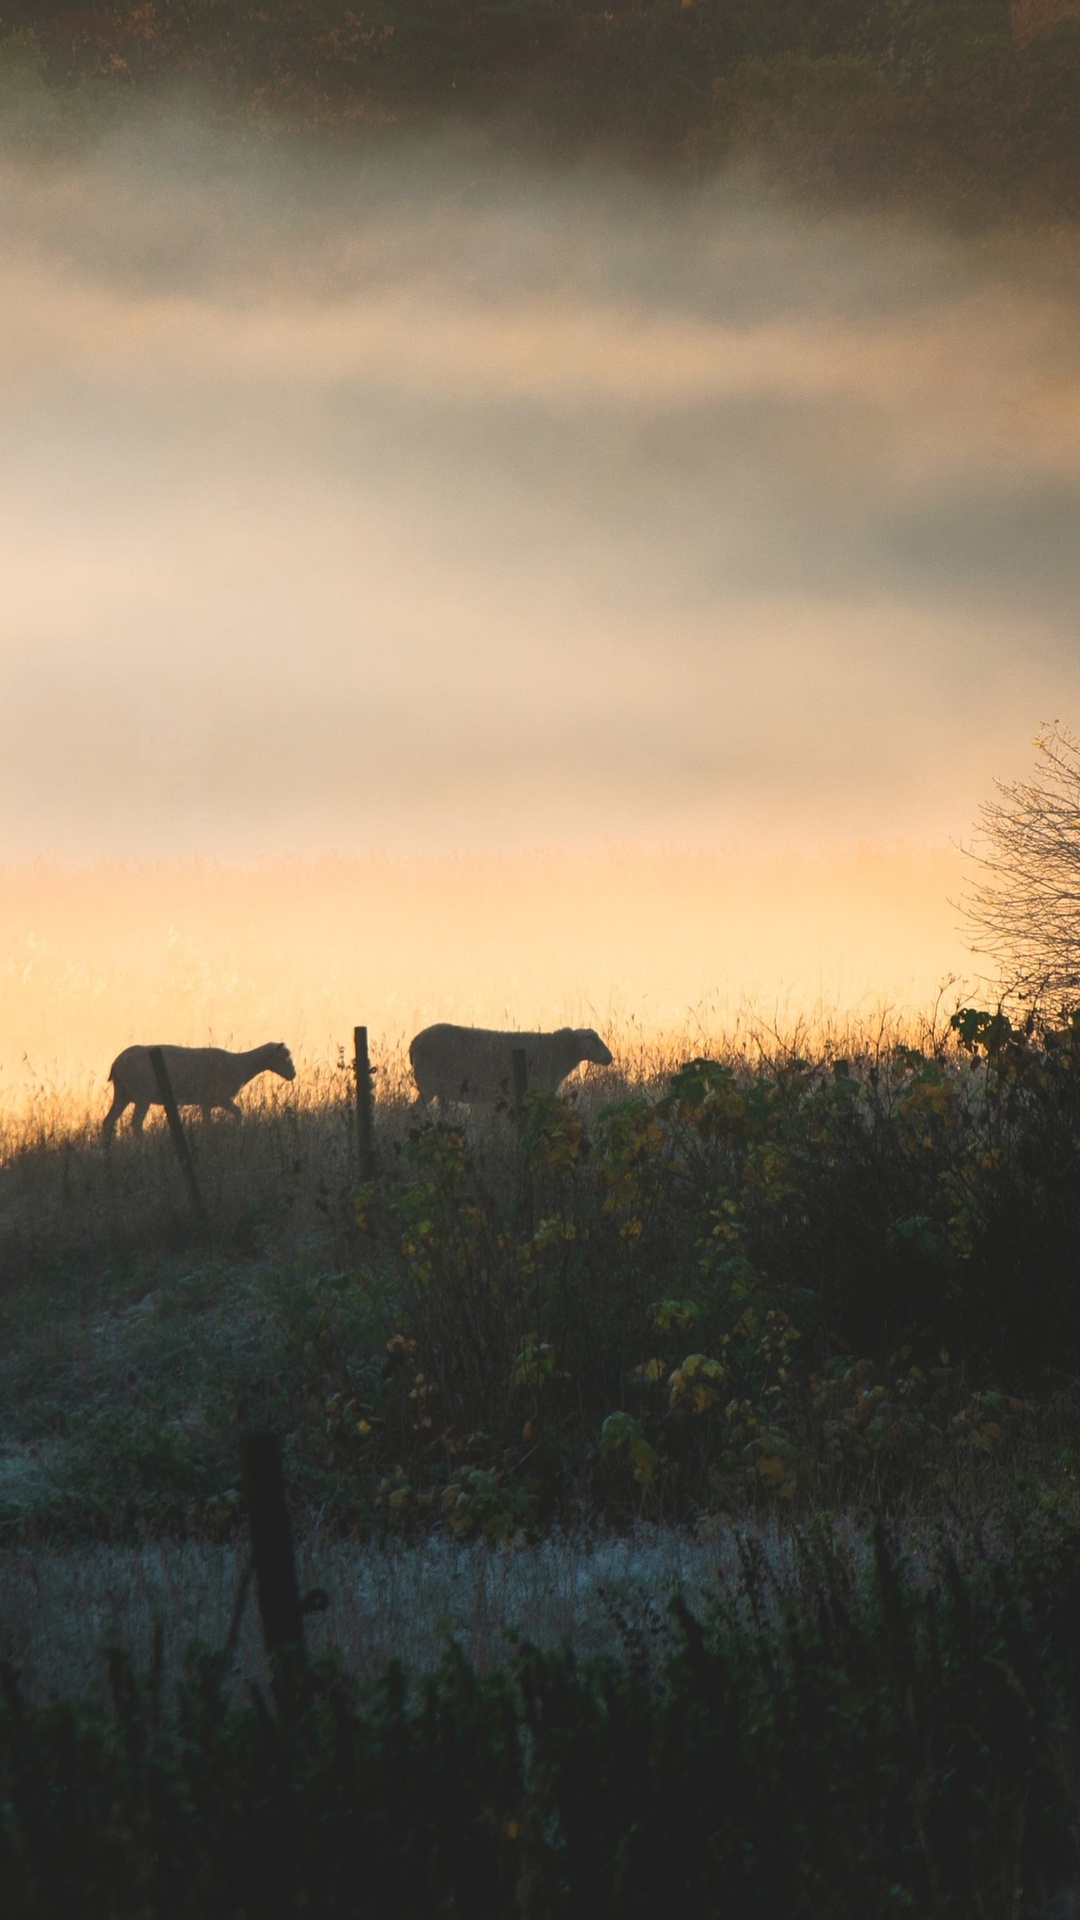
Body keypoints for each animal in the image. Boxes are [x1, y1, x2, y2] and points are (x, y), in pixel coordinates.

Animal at [102, 1044, 294, 1128]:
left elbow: (206, 1123)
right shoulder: (220, 1097)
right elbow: (239, 1113)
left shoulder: (206, 1103)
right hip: (143, 1095)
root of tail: (117, 1063)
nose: (293, 1075)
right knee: (135, 1123)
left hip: (122, 1093)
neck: (241, 1065)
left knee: (108, 1122)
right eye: (285, 1056)